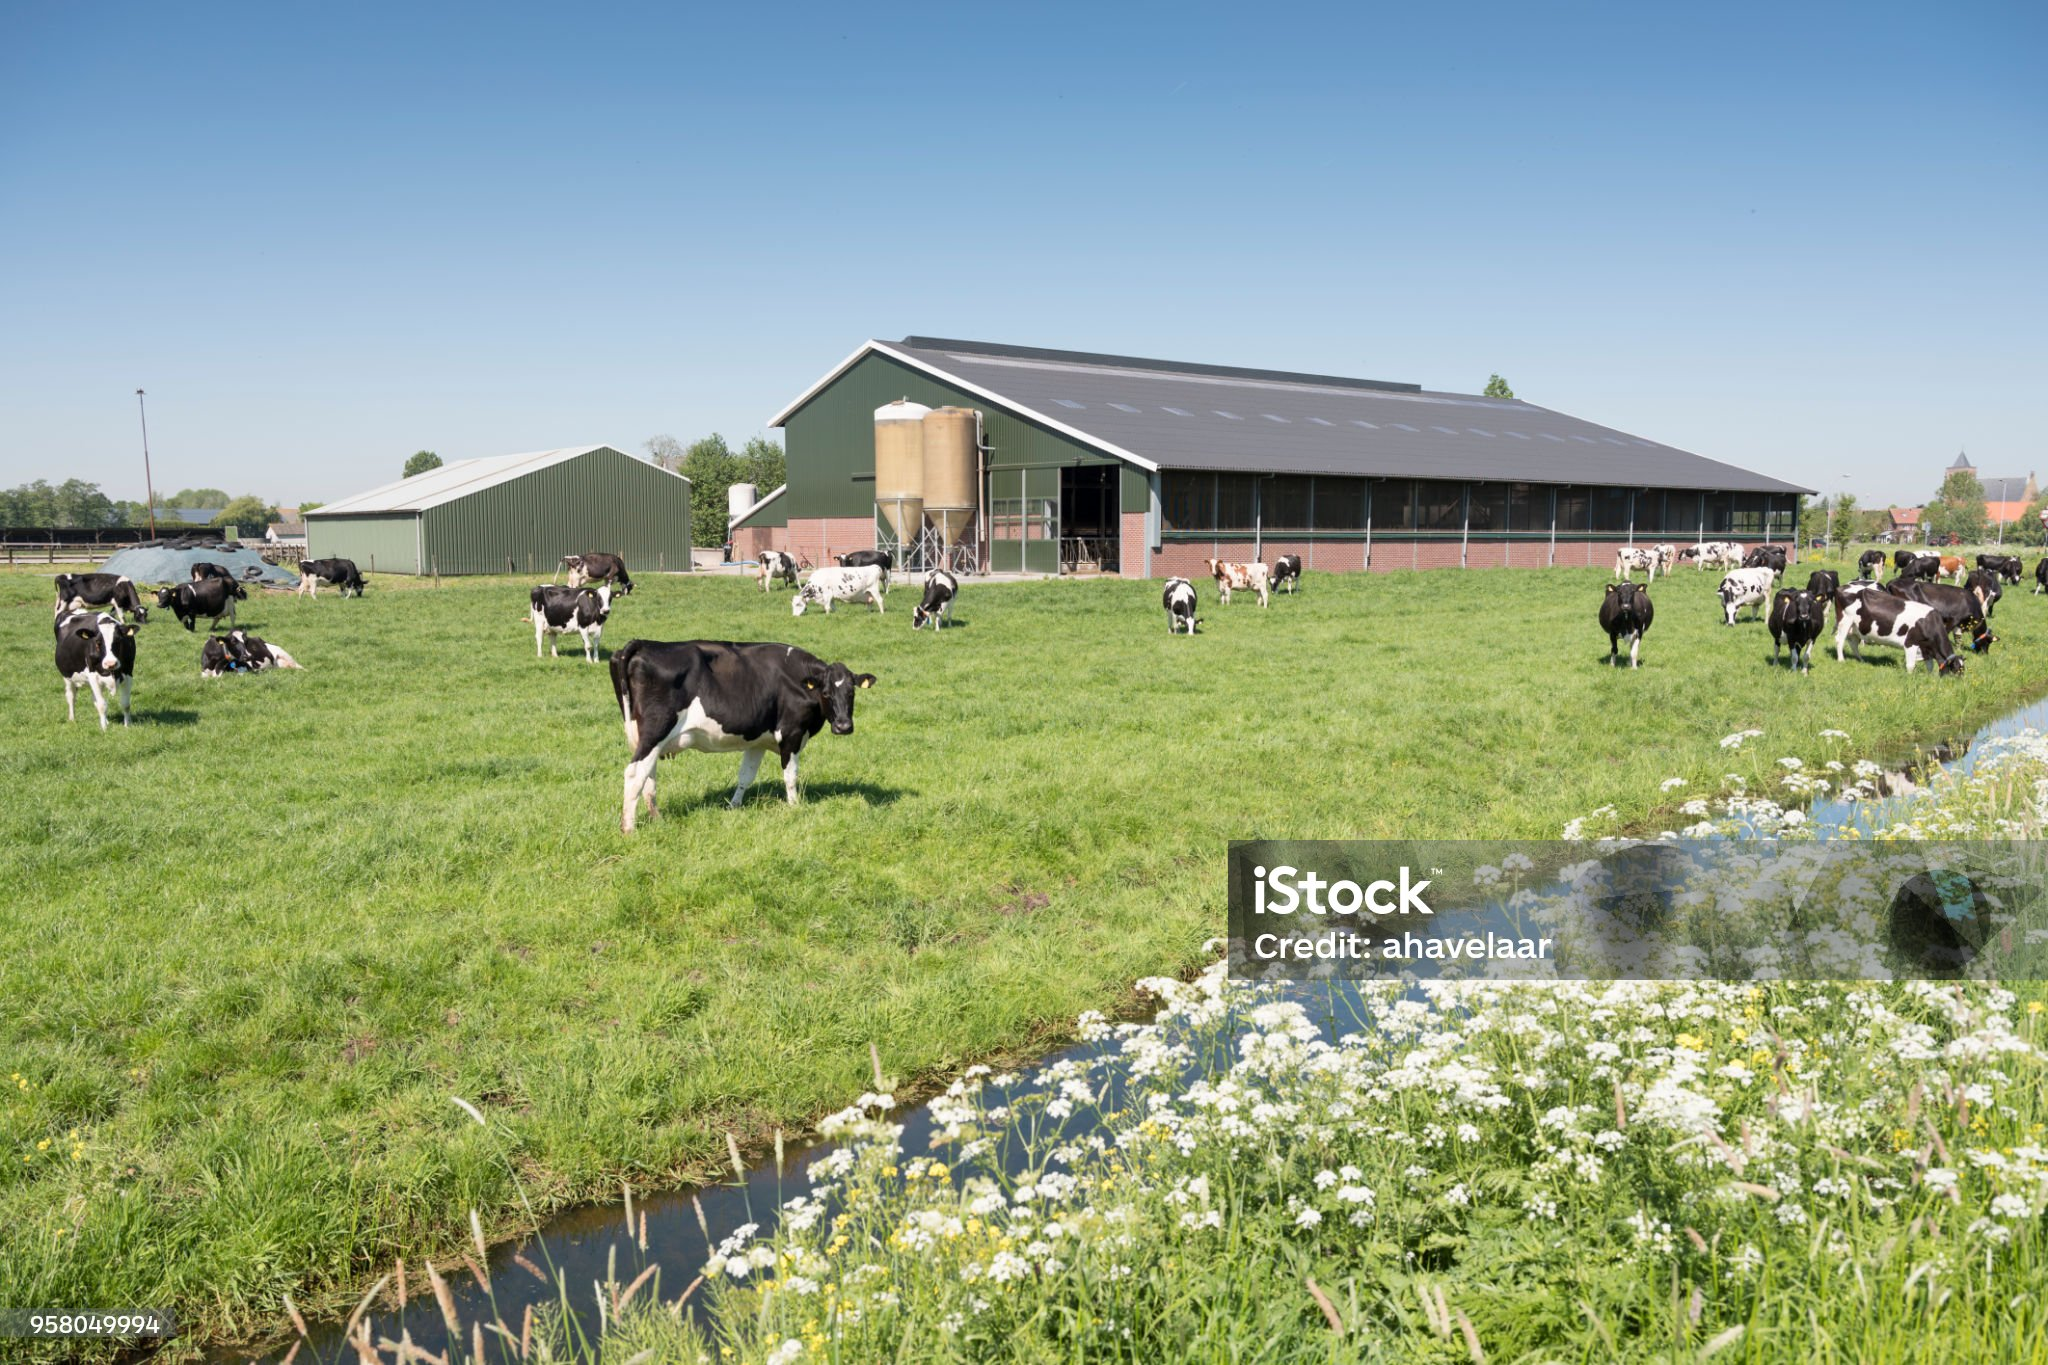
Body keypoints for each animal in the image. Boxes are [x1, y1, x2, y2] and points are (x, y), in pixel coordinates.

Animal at [609, 639, 877, 831]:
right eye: (826, 692)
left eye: (851, 692)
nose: (843, 726)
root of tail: (644, 643)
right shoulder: (791, 734)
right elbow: (790, 776)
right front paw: (795, 807)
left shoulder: (757, 740)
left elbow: (745, 776)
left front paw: (734, 806)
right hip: (655, 731)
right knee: (634, 774)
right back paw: (629, 828)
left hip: (647, 738)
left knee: (648, 776)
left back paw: (657, 818)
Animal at [1835, 592, 1965, 676]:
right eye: (1956, 670)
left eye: (1963, 669)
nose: (1958, 684)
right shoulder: (1910, 643)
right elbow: (1910, 665)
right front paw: (1910, 677)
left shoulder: (1926, 647)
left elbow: (1929, 664)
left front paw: (1929, 676)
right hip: (1845, 622)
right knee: (1840, 641)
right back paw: (1841, 660)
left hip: (1855, 628)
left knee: (1853, 643)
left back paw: (1861, 660)